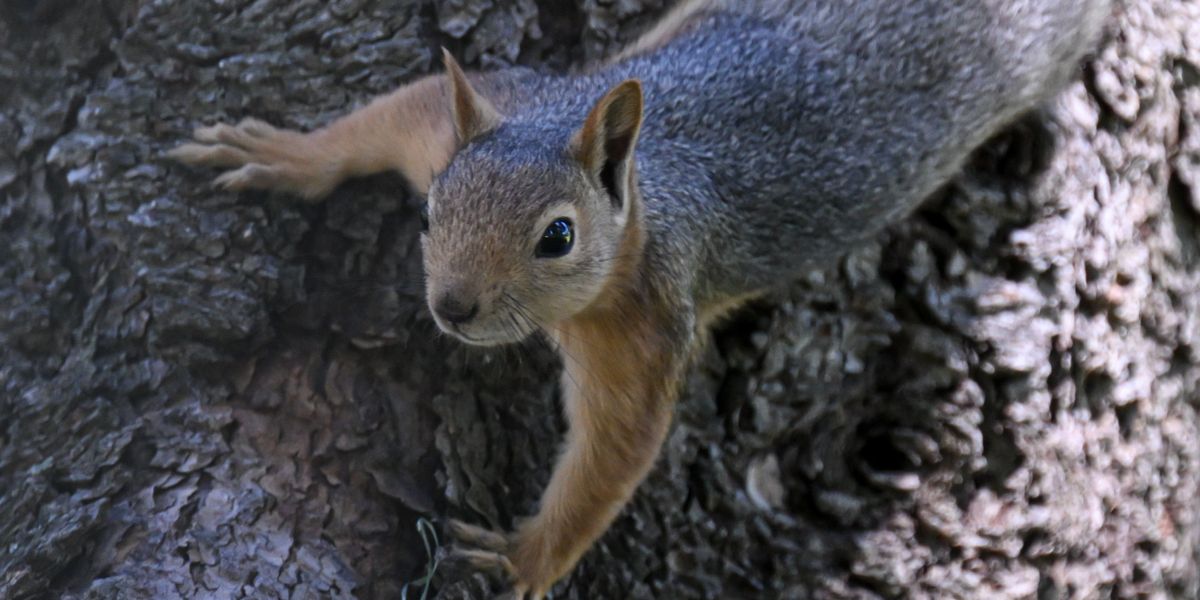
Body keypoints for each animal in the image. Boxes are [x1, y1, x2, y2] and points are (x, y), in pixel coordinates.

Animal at [169, 0, 1113, 596]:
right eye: (432, 209)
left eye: (558, 237)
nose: (452, 310)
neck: (640, 202)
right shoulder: (469, 115)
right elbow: (384, 117)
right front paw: (284, 155)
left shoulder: (645, 323)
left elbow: (615, 448)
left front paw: (524, 558)